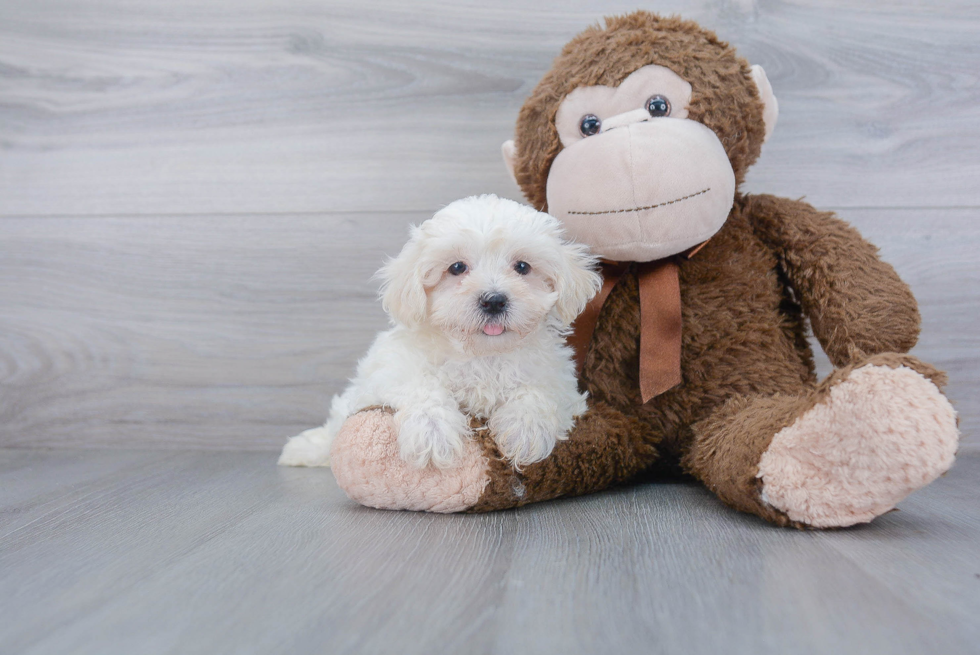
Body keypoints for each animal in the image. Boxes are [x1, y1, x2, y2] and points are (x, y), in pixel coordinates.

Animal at [274, 195, 596, 472]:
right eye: (457, 267)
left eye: (522, 267)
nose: (494, 300)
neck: (482, 354)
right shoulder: (391, 369)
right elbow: (422, 385)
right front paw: (433, 434)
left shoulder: (561, 383)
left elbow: (539, 391)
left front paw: (525, 429)